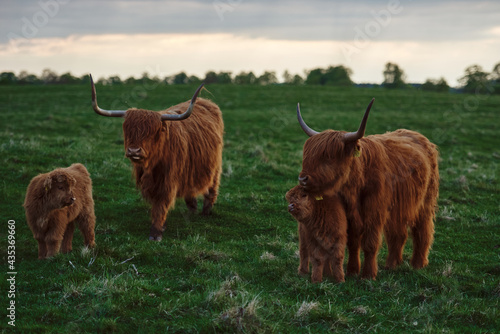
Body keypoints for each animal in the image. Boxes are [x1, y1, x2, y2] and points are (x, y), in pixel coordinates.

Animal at [90, 74, 223, 241]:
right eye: (127, 130)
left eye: (152, 132)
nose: (134, 150)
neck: (152, 165)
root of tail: (206, 102)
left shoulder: (168, 179)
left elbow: (161, 203)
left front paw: (156, 232)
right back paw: (192, 208)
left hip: (215, 165)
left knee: (212, 186)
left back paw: (206, 211)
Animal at [296, 99, 438, 280]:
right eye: (307, 156)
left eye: (328, 156)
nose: (302, 179)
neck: (355, 187)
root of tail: (421, 137)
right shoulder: (350, 213)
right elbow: (353, 242)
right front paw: (352, 270)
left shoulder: (375, 211)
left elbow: (370, 243)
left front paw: (368, 274)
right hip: (398, 208)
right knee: (398, 234)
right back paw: (392, 264)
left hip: (425, 202)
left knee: (422, 230)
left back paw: (418, 264)